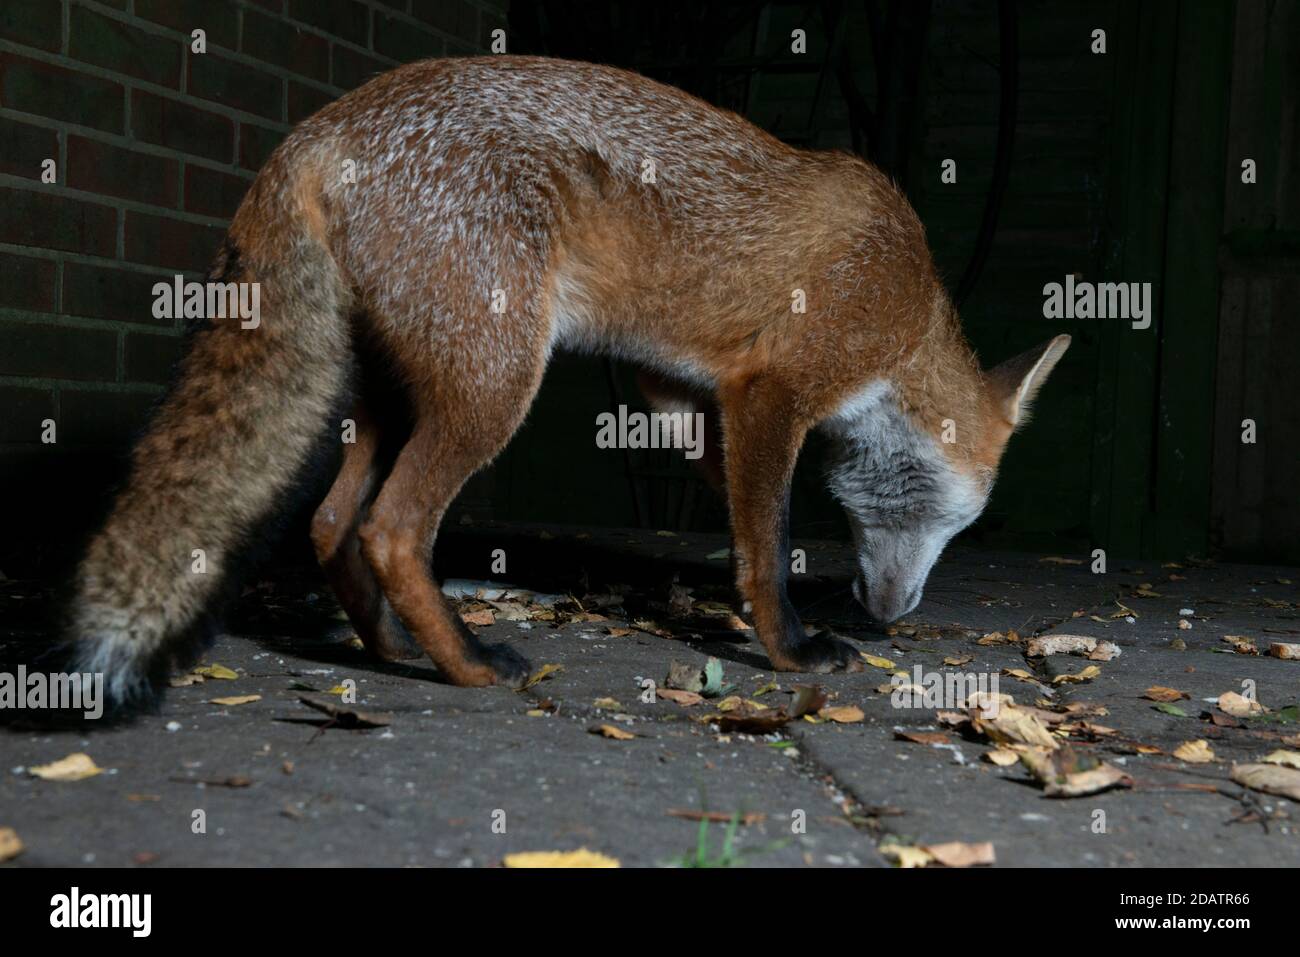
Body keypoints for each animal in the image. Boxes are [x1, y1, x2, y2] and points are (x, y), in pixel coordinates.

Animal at [61, 52, 1066, 712]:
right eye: (950, 515)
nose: (892, 617)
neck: (908, 307)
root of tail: (322, 125)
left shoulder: (678, 391)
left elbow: (747, 522)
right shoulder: (774, 387)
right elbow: (770, 537)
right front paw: (790, 645)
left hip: (402, 392)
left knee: (330, 520)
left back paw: (392, 647)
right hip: (495, 382)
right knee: (391, 528)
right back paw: (468, 666)